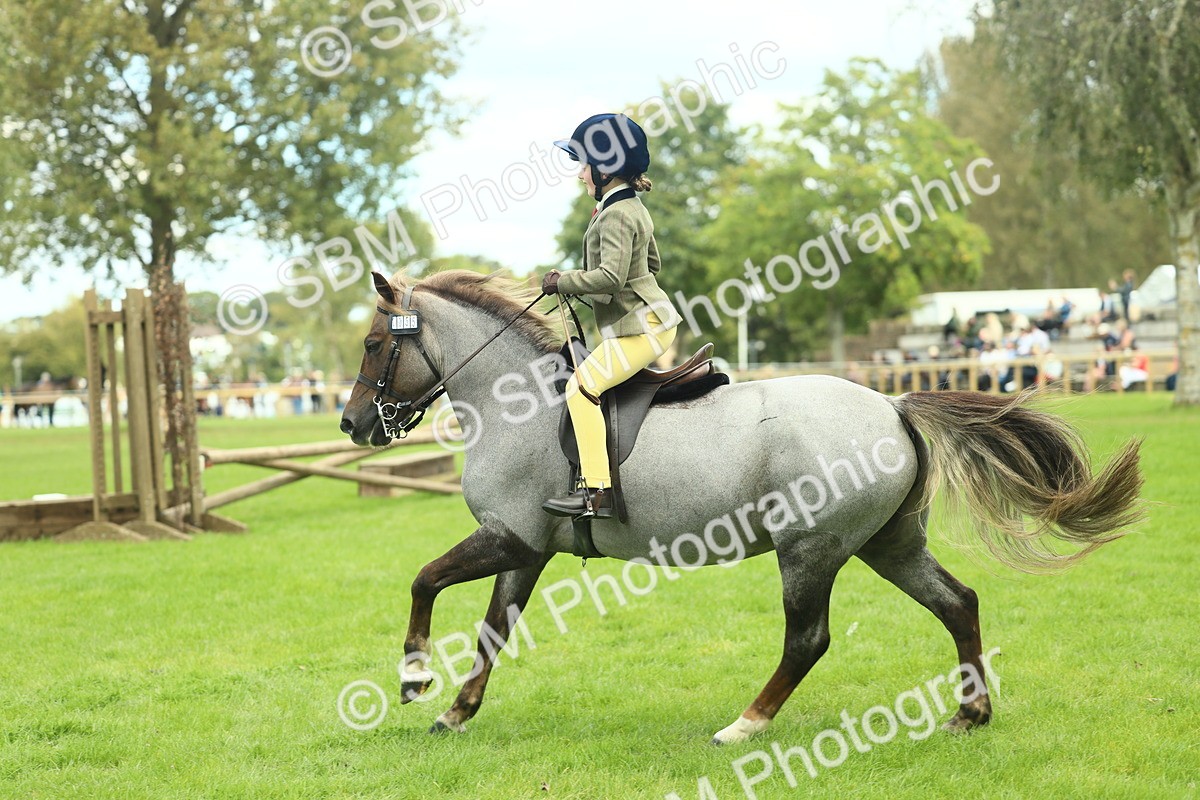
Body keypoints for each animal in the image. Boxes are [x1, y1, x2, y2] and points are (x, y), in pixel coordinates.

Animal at [339, 269, 1143, 744]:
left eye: (375, 343)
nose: (352, 425)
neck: (516, 403)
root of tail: (891, 403)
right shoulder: (527, 549)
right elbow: (492, 630)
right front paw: (455, 710)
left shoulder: (508, 538)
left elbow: (424, 581)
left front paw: (414, 679)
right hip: (889, 545)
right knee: (958, 604)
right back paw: (971, 712)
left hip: (810, 550)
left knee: (808, 639)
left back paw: (745, 725)